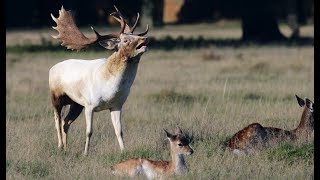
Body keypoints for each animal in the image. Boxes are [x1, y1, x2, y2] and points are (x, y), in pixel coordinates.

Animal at [48, 6, 149, 155]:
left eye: (134, 35)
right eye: (125, 40)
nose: (144, 39)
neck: (110, 88)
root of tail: (52, 68)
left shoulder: (117, 105)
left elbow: (119, 131)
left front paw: (123, 151)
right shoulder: (90, 105)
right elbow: (89, 131)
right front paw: (85, 153)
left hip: (76, 104)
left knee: (66, 122)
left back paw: (66, 148)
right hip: (55, 97)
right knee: (57, 121)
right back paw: (60, 146)